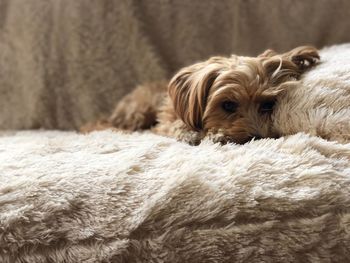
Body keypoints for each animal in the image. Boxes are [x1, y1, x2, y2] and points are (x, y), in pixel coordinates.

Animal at [80, 45, 320, 144]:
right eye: (228, 105)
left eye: (268, 104)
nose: (258, 137)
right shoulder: (165, 121)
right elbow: (175, 127)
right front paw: (199, 134)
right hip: (139, 110)